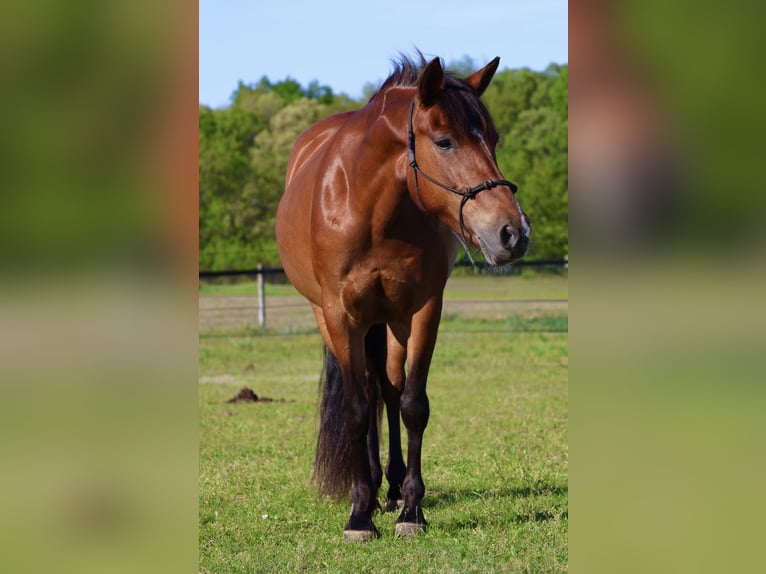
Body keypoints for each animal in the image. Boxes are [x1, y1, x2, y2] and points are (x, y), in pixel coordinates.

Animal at [275, 54, 530, 541]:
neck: (371, 210)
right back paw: (372, 490)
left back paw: (390, 488)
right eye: (445, 142)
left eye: (493, 139)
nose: (514, 233)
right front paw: (359, 513)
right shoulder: (340, 316)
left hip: (390, 320)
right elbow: (357, 409)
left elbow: (413, 404)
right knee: (368, 387)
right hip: (336, 319)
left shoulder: (423, 309)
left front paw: (412, 509)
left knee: (389, 389)